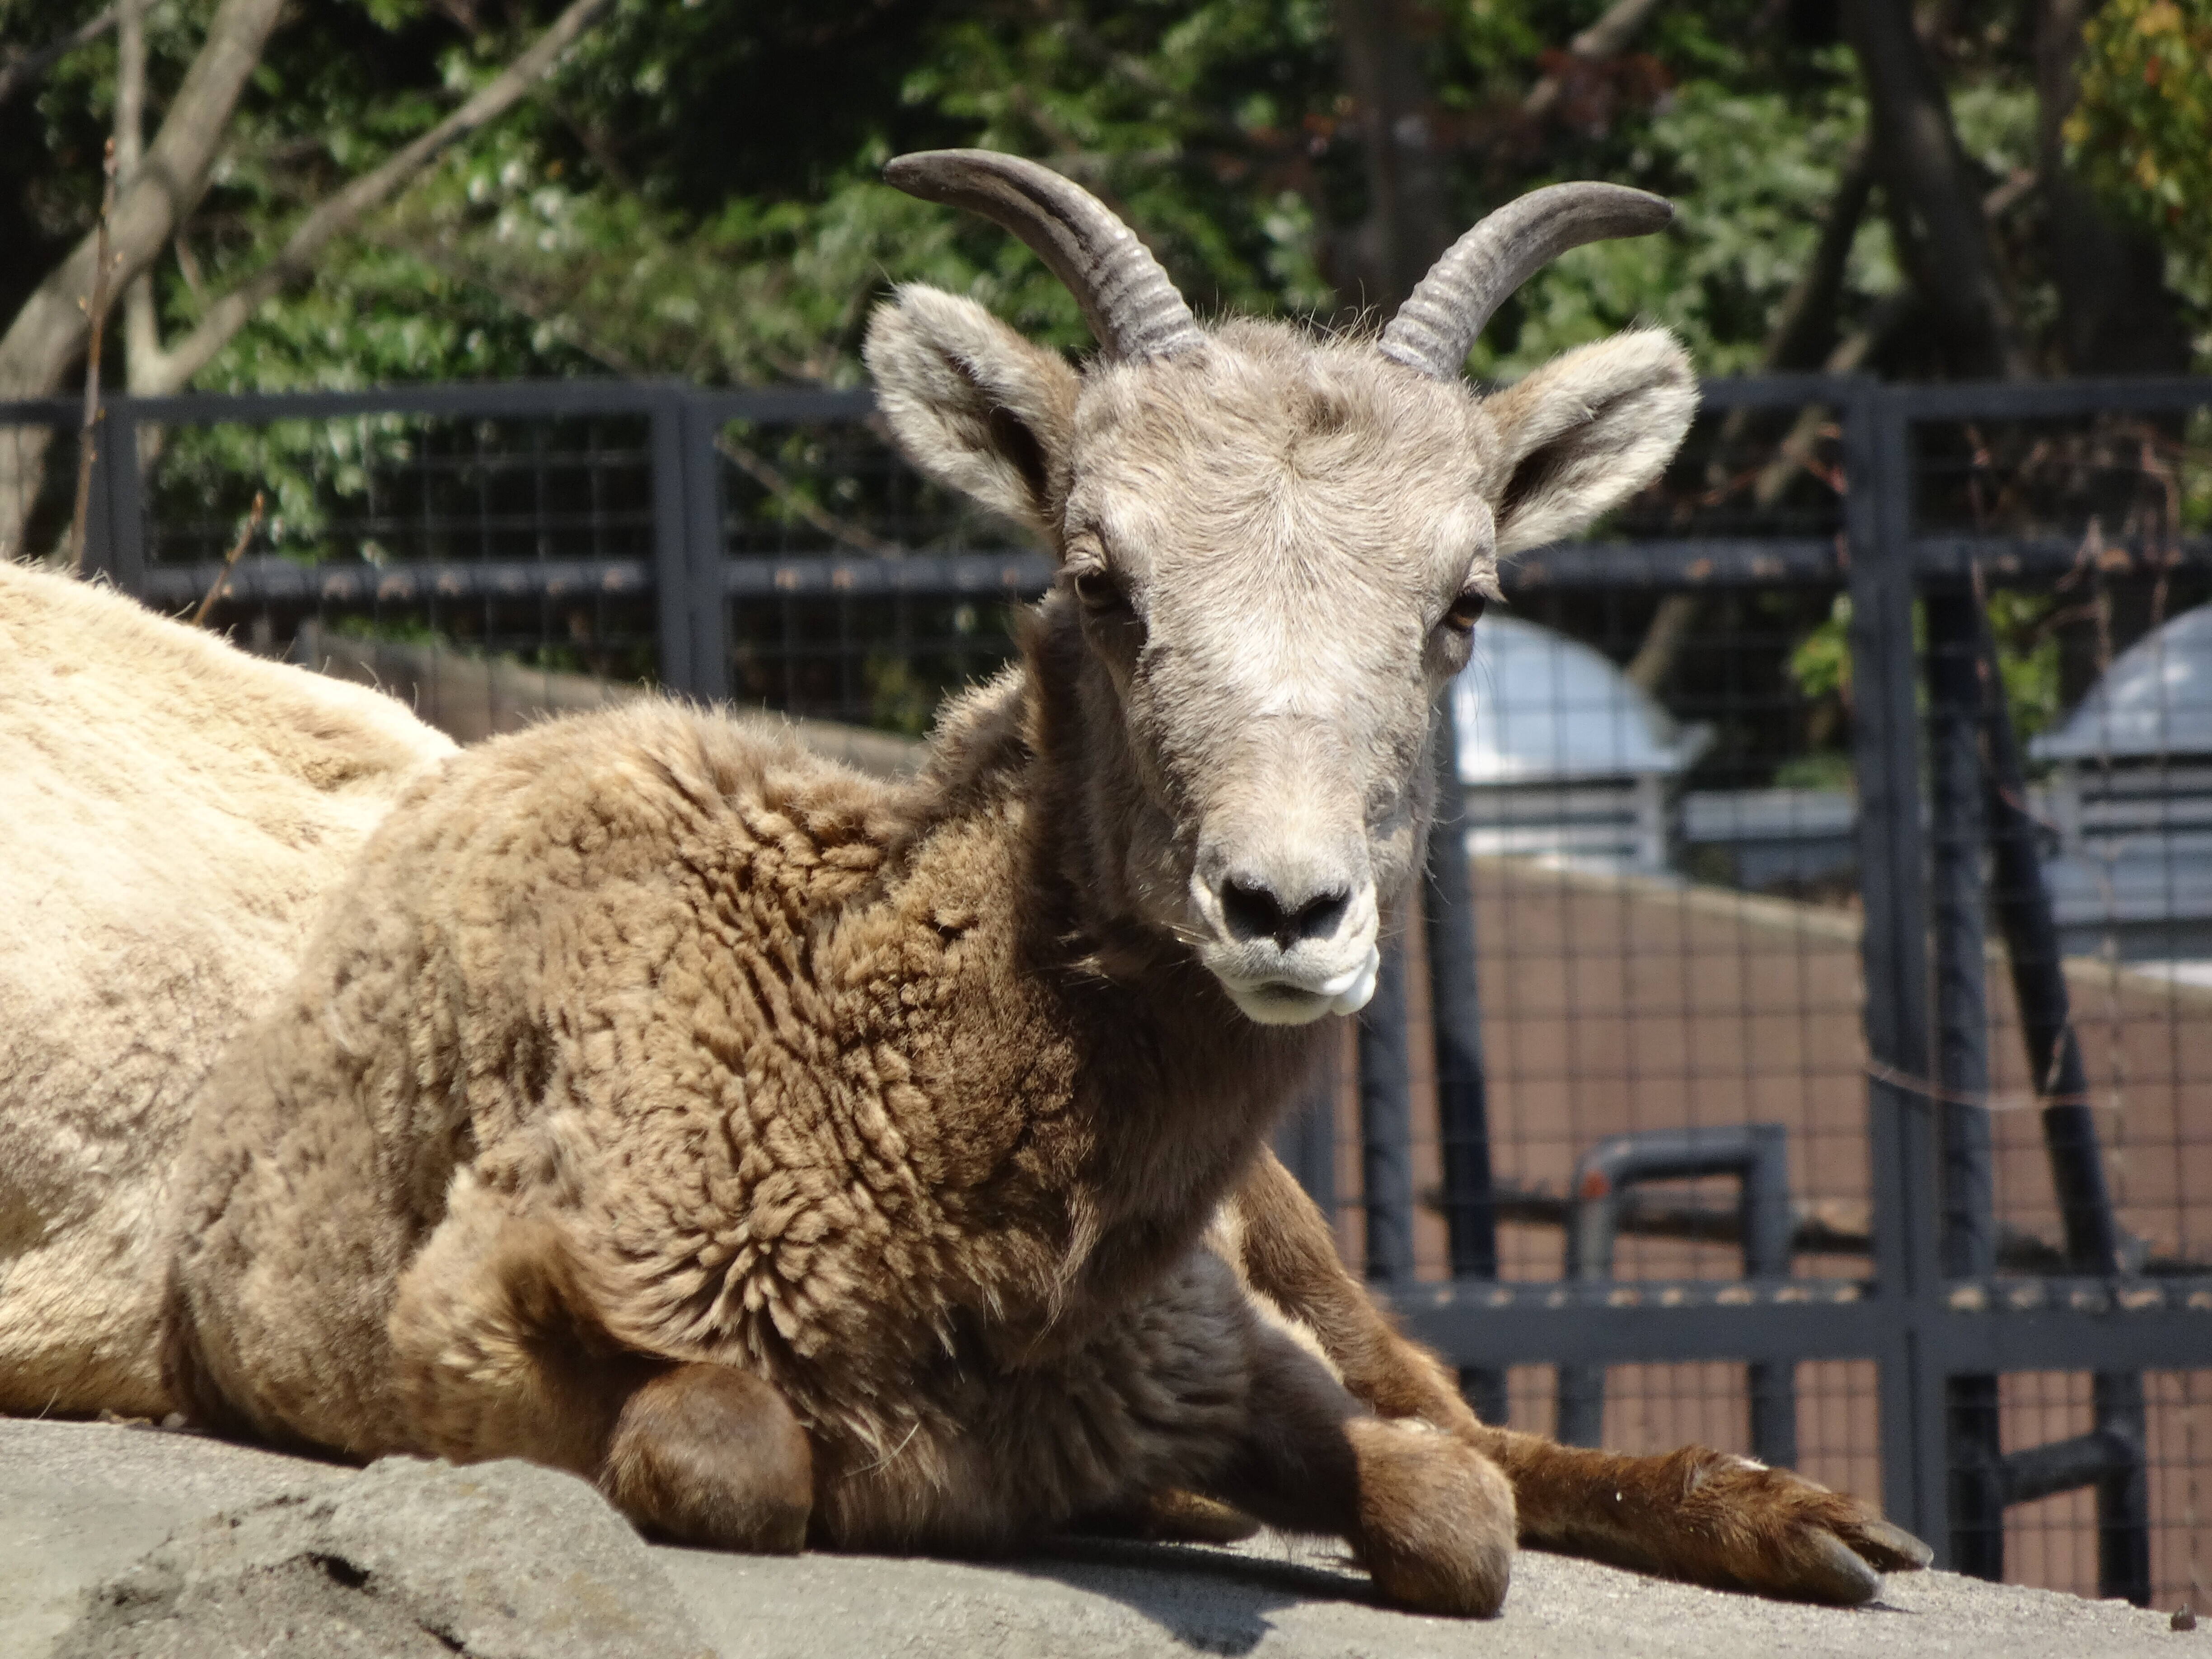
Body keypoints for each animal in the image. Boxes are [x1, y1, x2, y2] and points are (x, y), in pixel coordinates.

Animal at [0, 152, 1929, 1610]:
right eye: (1099, 577)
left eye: (1463, 604)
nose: (1284, 911)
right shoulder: (468, 1332)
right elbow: (738, 1460)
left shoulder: (1219, 1345)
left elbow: (1457, 1512)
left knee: (1461, 1409)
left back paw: (1822, 1525)